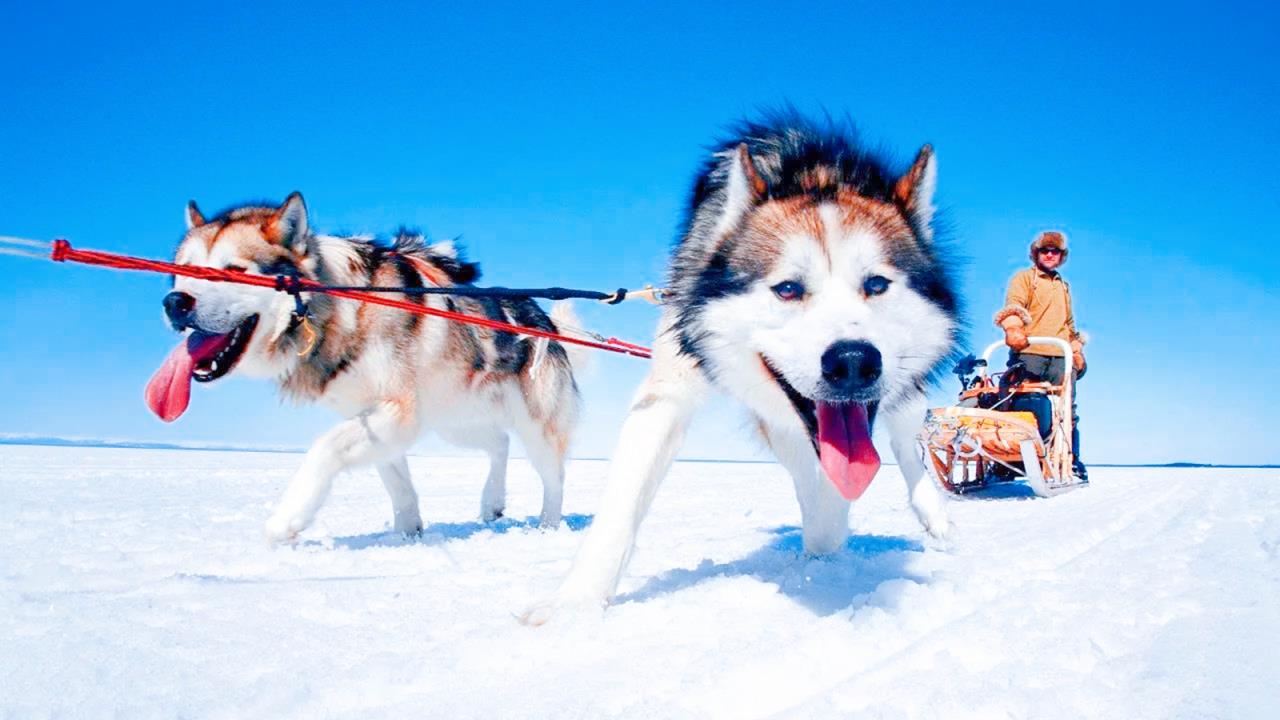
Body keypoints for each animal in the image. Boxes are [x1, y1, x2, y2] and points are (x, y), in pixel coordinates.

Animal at [145, 190, 581, 538]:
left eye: (234, 271)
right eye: (181, 270)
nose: (174, 302)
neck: (340, 306)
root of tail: (545, 320)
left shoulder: (397, 412)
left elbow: (324, 448)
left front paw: (288, 518)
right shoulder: (377, 417)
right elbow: (396, 482)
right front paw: (406, 535)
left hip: (534, 426)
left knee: (555, 477)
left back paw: (548, 525)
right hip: (453, 420)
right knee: (499, 443)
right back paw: (491, 502)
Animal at [522, 113, 962, 622]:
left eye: (876, 284)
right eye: (787, 288)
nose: (853, 362)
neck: (814, 172)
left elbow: (853, 479)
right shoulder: (668, 391)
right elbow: (621, 504)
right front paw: (574, 601)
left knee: (905, 445)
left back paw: (930, 512)